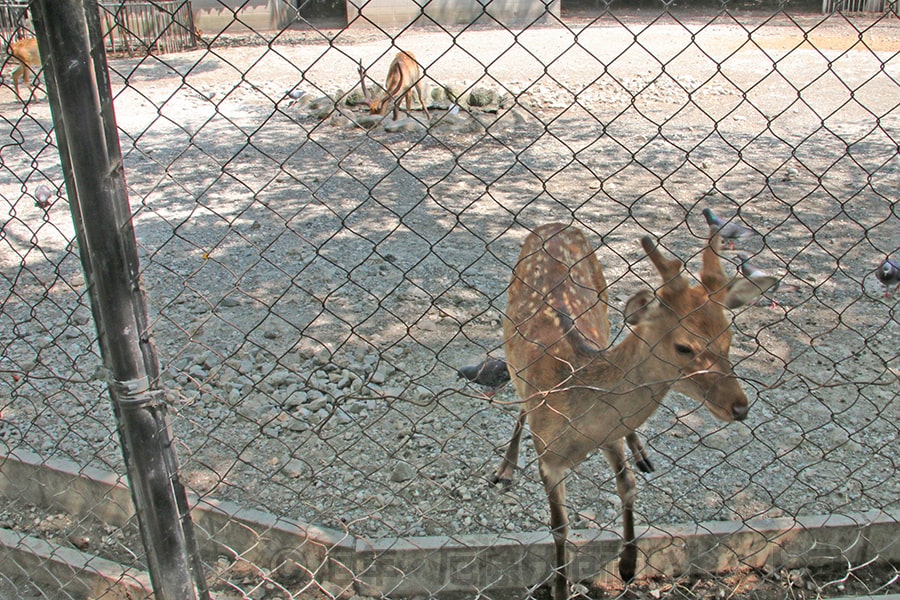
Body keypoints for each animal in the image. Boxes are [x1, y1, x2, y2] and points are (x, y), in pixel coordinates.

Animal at [496, 223, 776, 596]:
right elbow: (559, 526)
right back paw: (505, 468)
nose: (740, 407)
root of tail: (555, 225)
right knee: (521, 405)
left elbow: (627, 485)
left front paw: (628, 565)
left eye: (728, 338)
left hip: (603, 309)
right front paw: (561, 588)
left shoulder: (611, 434)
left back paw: (642, 453)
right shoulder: (548, 457)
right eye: (684, 347)